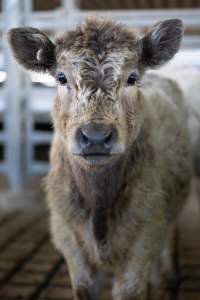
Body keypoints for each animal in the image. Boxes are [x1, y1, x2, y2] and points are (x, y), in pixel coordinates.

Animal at [9, 17, 192, 298]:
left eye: (132, 78)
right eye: (61, 77)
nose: (95, 136)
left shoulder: (145, 236)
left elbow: (131, 288)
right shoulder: (67, 237)